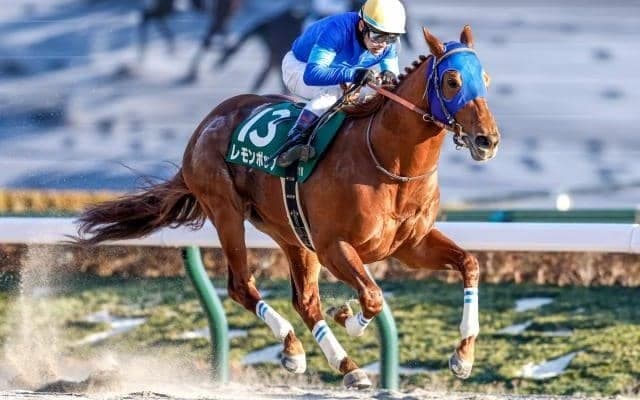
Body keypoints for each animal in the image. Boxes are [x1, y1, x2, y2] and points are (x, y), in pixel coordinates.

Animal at [74, 26, 499, 388]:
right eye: (452, 81)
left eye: (486, 80)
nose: (487, 140)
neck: (389, 162)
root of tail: (205, 125)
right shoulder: (333, 247)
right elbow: (373, 296)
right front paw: (348, 317)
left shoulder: (410, 246)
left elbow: (469, 264)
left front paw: (463, 358)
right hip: (227, 212)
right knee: (242, 286)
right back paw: (296, 348)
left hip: (291, 232)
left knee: (305, 301)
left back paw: (344, 366)